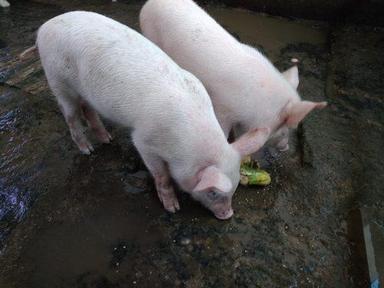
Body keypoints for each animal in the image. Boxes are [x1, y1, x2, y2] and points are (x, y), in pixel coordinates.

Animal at [33, 10, 272, 218]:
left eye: (235, 189)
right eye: (213, 192)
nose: (228, 215)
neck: (183, 148)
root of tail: (44, 27)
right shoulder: (144, 142)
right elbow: (162, 176)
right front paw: (173, 209)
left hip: (84, 92)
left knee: (88, 109)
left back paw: (107, 139)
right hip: (58, 82)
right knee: (71, 117)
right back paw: (88, 150)